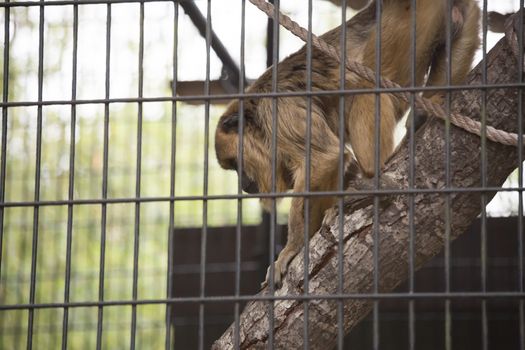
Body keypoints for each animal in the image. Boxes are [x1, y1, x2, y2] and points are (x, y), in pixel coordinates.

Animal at [214, 0, 478, 288]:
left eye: (235, 165)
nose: (242, 184)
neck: (256, 112)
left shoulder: (279, 111)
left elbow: (324, 158)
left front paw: (292, 248)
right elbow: (331, 164)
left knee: (367, 90)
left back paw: (375, 178)